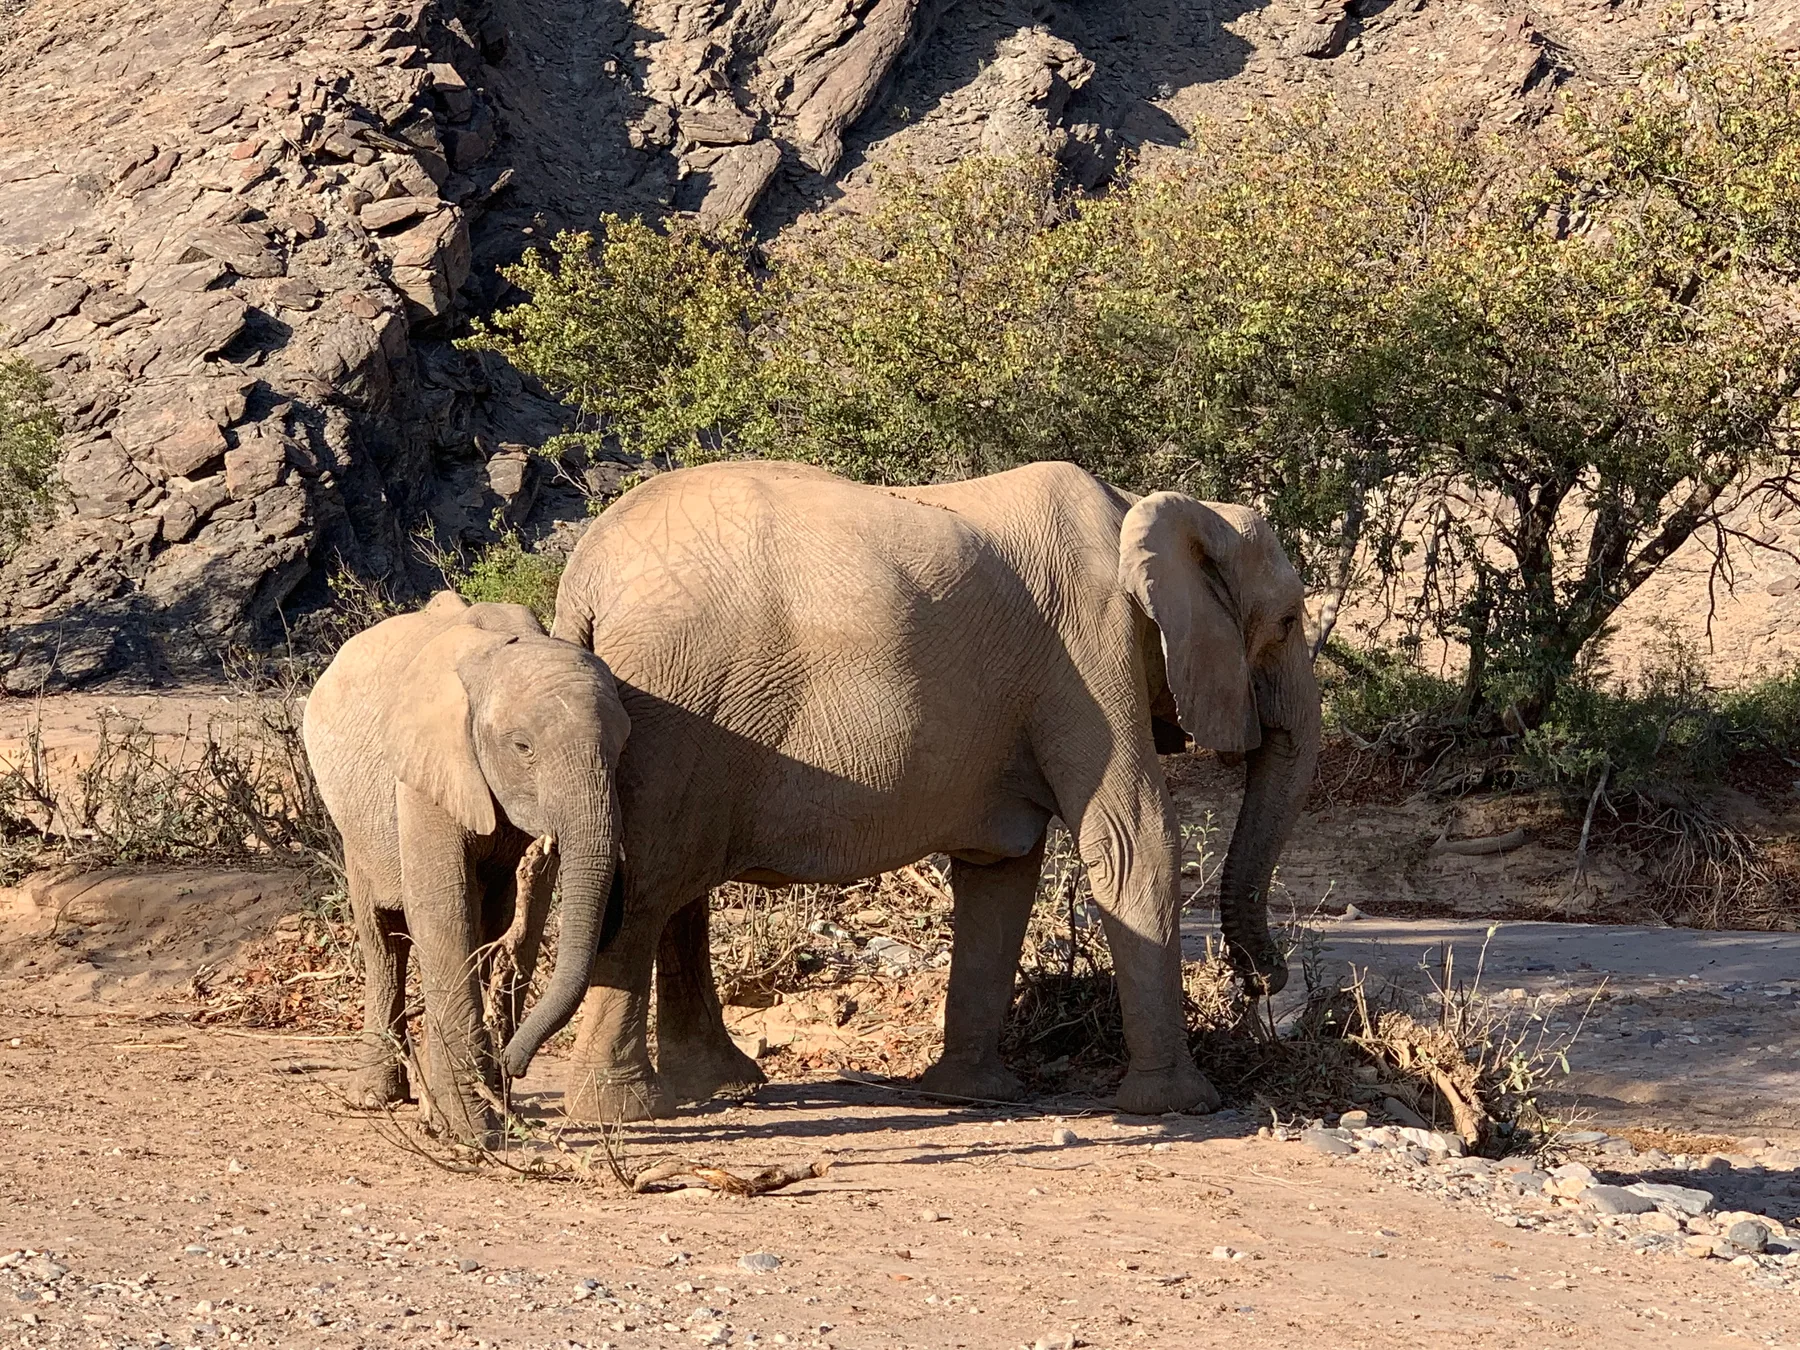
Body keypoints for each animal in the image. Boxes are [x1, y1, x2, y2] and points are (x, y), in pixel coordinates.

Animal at [302, 590, 630, 1145]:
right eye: (523, 747)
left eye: (621, 748)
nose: (516, 1065)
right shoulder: (427, 768)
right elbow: (443, 912)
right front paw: (472, 1127)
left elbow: (525, 918)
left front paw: (482, 1104)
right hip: (353, 818)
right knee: (384, 935)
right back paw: (375, 1097)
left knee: (484, 919)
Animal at [497, 458, 1320, 1122]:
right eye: (1287, 621)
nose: (1261, 981)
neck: (1151, 509)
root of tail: (583, 584)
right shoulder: (1093, 653)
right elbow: (1132, 840)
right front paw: (1179, 1105)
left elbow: (1000, 871)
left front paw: (970, 1093)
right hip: (678, 705)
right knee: (647, 890)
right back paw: (624, 1109)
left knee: (676, 885)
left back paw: (719, 1086)